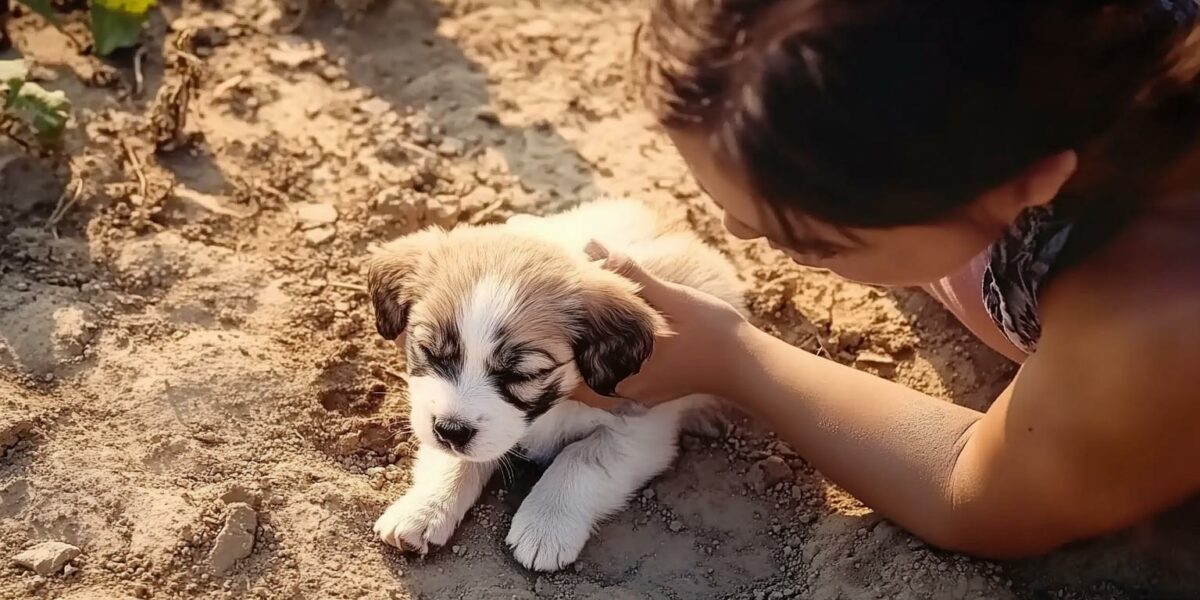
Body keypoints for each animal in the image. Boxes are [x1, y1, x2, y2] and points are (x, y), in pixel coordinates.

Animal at [367, 198, 739, 571]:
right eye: (429, 351)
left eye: (523, 375)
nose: (450, 430)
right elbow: (455, 459)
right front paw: (423, 509)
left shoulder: (640, 432)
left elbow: (580, 460)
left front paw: (545, 526)